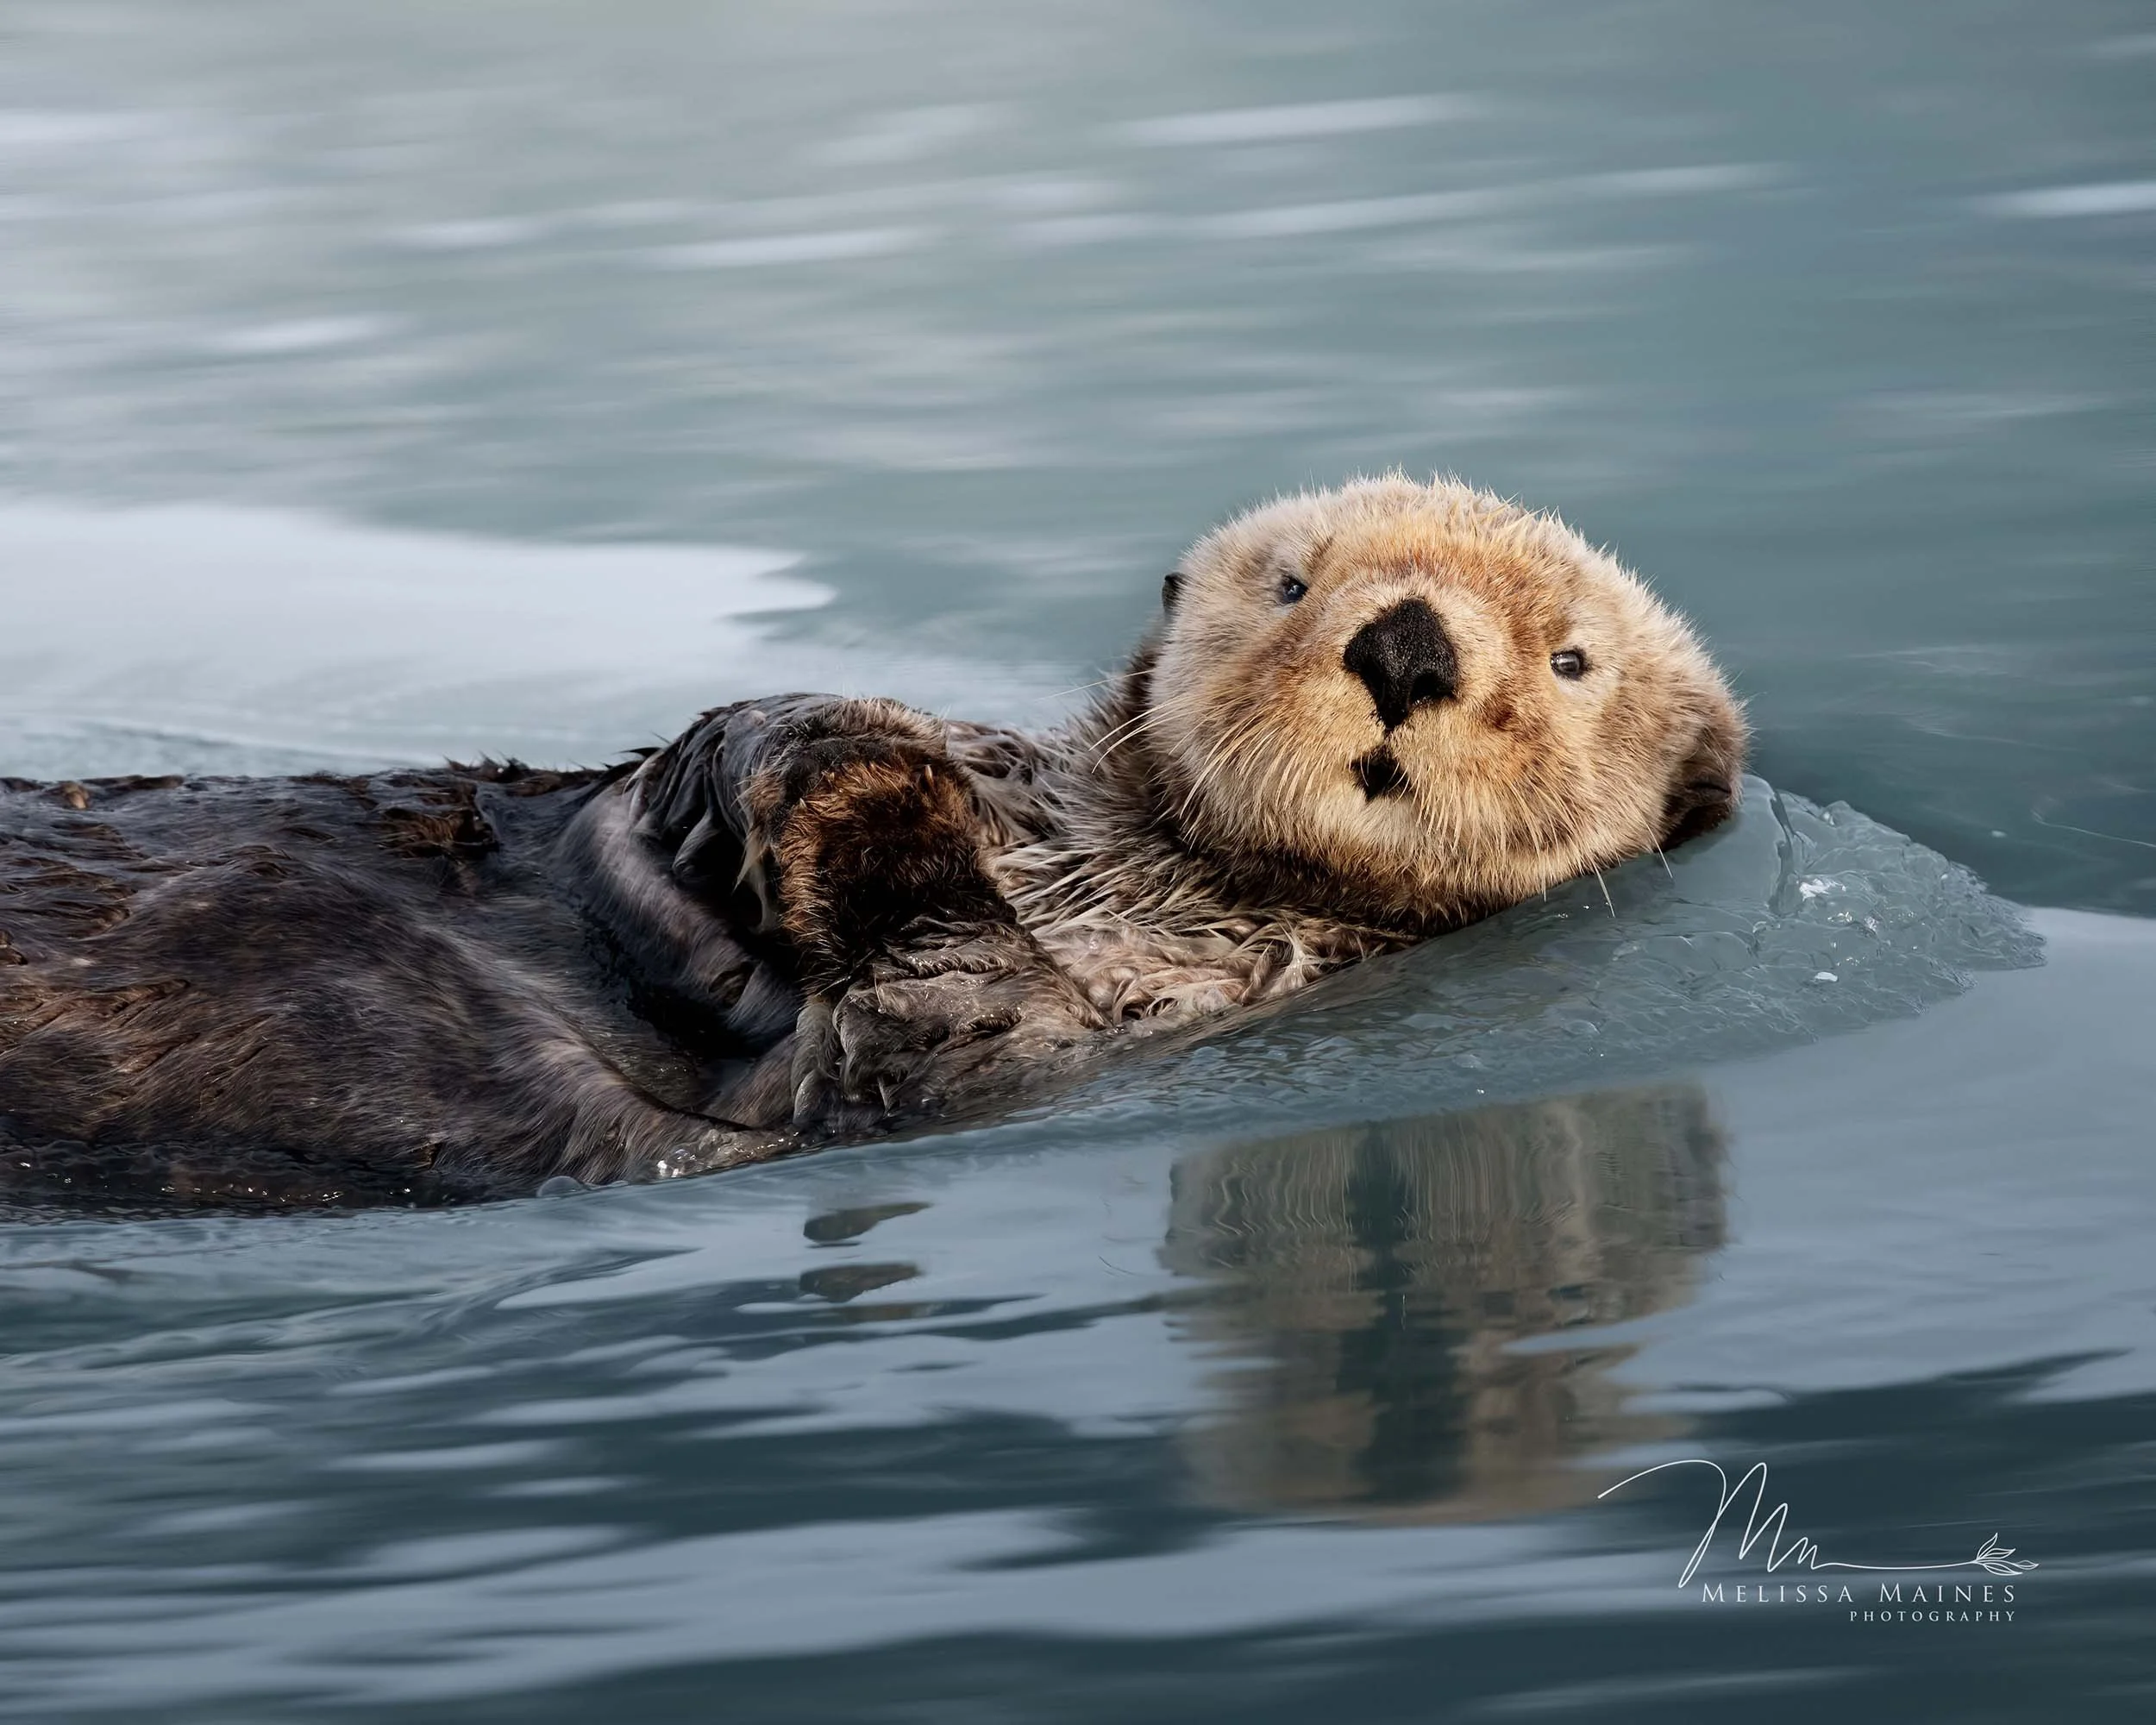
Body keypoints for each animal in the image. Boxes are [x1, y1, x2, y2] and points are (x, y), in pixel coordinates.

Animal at [0, 476, 1743, 1205]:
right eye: (1294, 581)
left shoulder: (1079, 1029)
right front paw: (829, 746)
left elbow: (920, 1015)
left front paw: (865, 805)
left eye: (1569, 658)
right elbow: (697, 766)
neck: (1140, 859)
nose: (1406, 644)